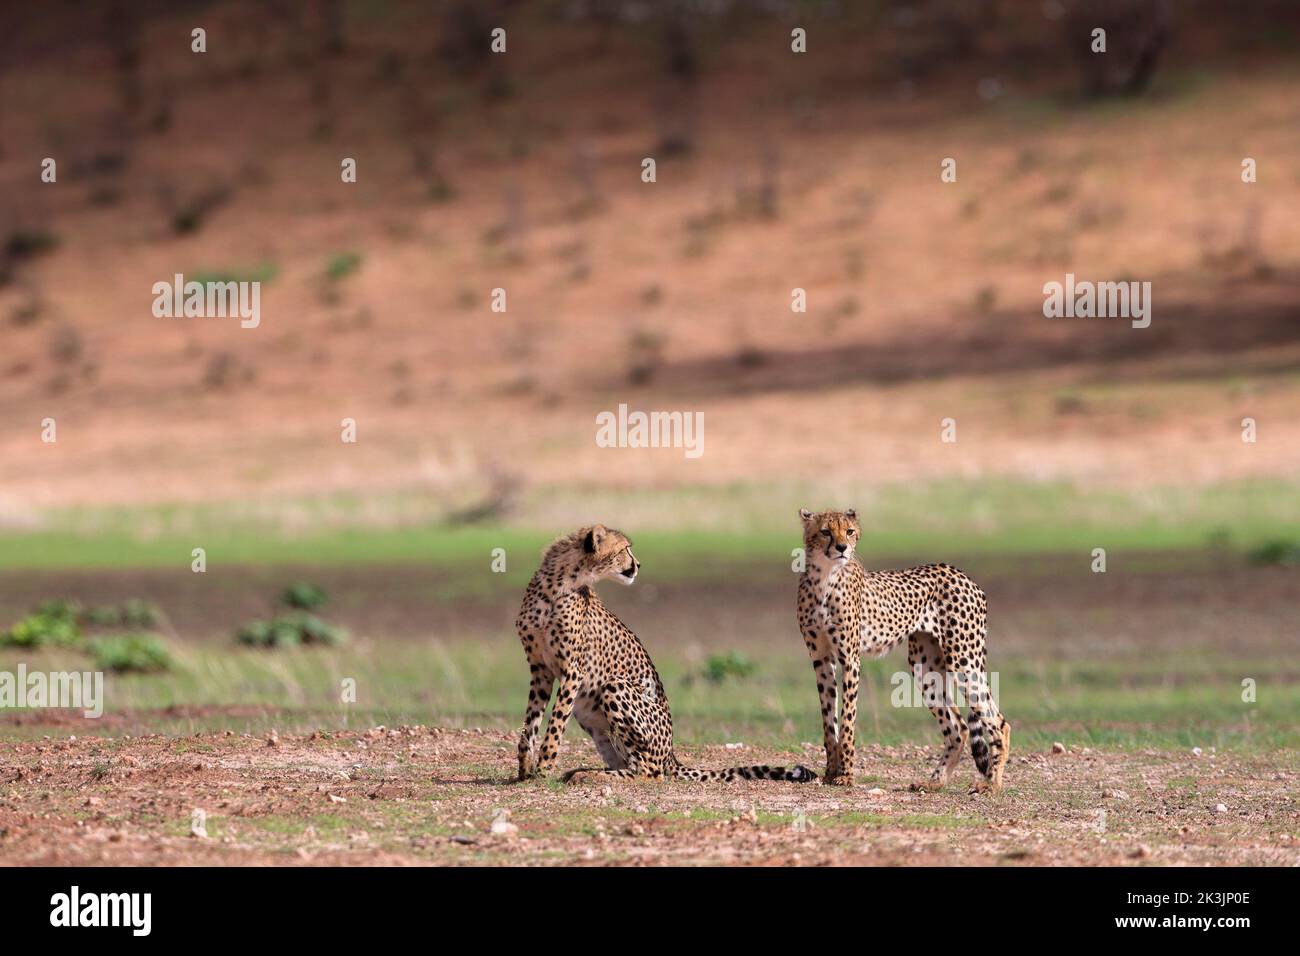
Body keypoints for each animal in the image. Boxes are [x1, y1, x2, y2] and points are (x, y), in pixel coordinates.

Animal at [514, 522, 811, 785]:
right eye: (625, 549)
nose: (638, 565)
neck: (560, 581)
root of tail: (671, 754)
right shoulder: (540, 669)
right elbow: (530, 724)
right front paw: (525, 770)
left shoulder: (573, 671)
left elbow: (554, 724)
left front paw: (543, 768)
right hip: (588, 712)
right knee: (629, 764)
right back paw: (584, 771)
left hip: (614, 687)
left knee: (649, 772)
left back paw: (589, 775)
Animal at [790, 509, 1013, 790]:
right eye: (825, 532)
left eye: (849, 531)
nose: (842, 548)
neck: (825, 577)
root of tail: (962, 574)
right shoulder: (821, 659)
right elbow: (829, 722)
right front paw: (830, 772)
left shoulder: (850, 659)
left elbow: (848, 720)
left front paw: (846, 775)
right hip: (924, 666)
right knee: (959, 727)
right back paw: (935, 782)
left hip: (963, 659)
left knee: (998, 721)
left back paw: (992, 784)